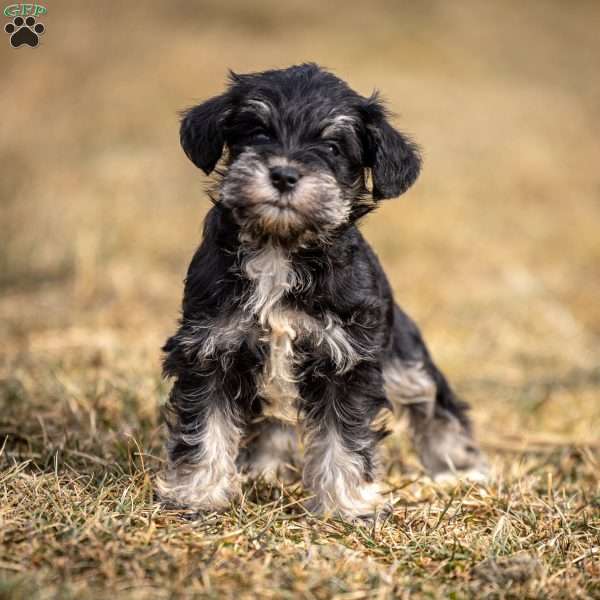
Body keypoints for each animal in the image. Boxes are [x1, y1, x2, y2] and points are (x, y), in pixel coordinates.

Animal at [158, 63, 488, 516]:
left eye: (333, 146)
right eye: (257, 132)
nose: (283, 174)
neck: (280, 248)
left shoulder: (346, 361)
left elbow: (342, 440)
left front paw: (345, 506)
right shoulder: (209, 350)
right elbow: (204, 429)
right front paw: (196, 495)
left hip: (401, 356)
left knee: (433, 401)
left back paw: (460, 467)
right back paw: (263, 469)